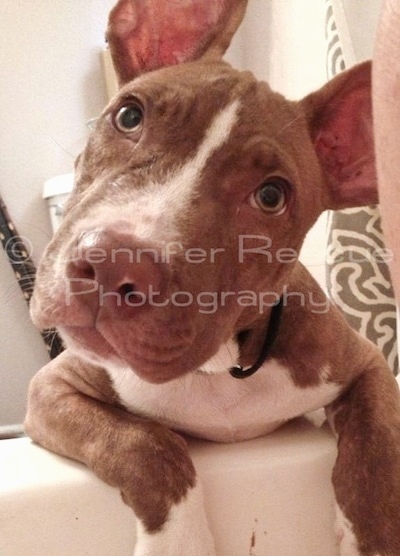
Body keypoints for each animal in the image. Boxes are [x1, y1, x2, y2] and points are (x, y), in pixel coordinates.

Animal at [25, 1, 400, 556]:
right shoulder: (51, 389)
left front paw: (372, 538)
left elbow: (377, 451)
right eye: (129, 116)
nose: (112, 263)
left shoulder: (366, 366)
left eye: (271, 196)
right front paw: (179, 543)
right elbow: (143, 442)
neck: (220, 368)